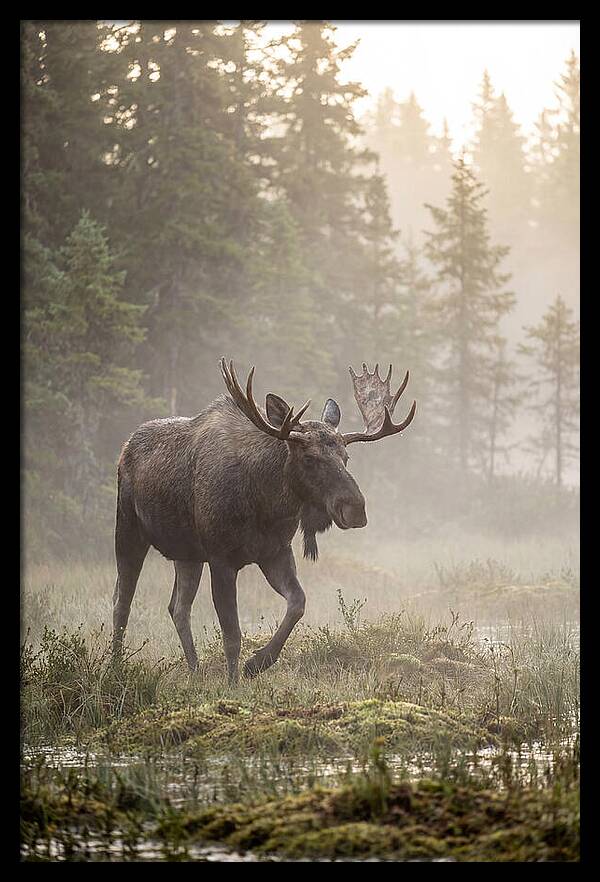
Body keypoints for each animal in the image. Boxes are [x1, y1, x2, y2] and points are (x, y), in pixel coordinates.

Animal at [113, 359, 416, 682]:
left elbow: (298, 603)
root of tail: (125, 447)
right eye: (309, 458)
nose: (355, 508)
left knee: (178, 607)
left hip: (187, 554)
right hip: (128, 529)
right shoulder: (221, 558)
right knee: (122, 601)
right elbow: (232, 634)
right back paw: (115, 666)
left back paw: (194, 670)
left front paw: (258, 663)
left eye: (346, 458)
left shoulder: (275, 552)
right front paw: (233, 683)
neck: (266, 504)